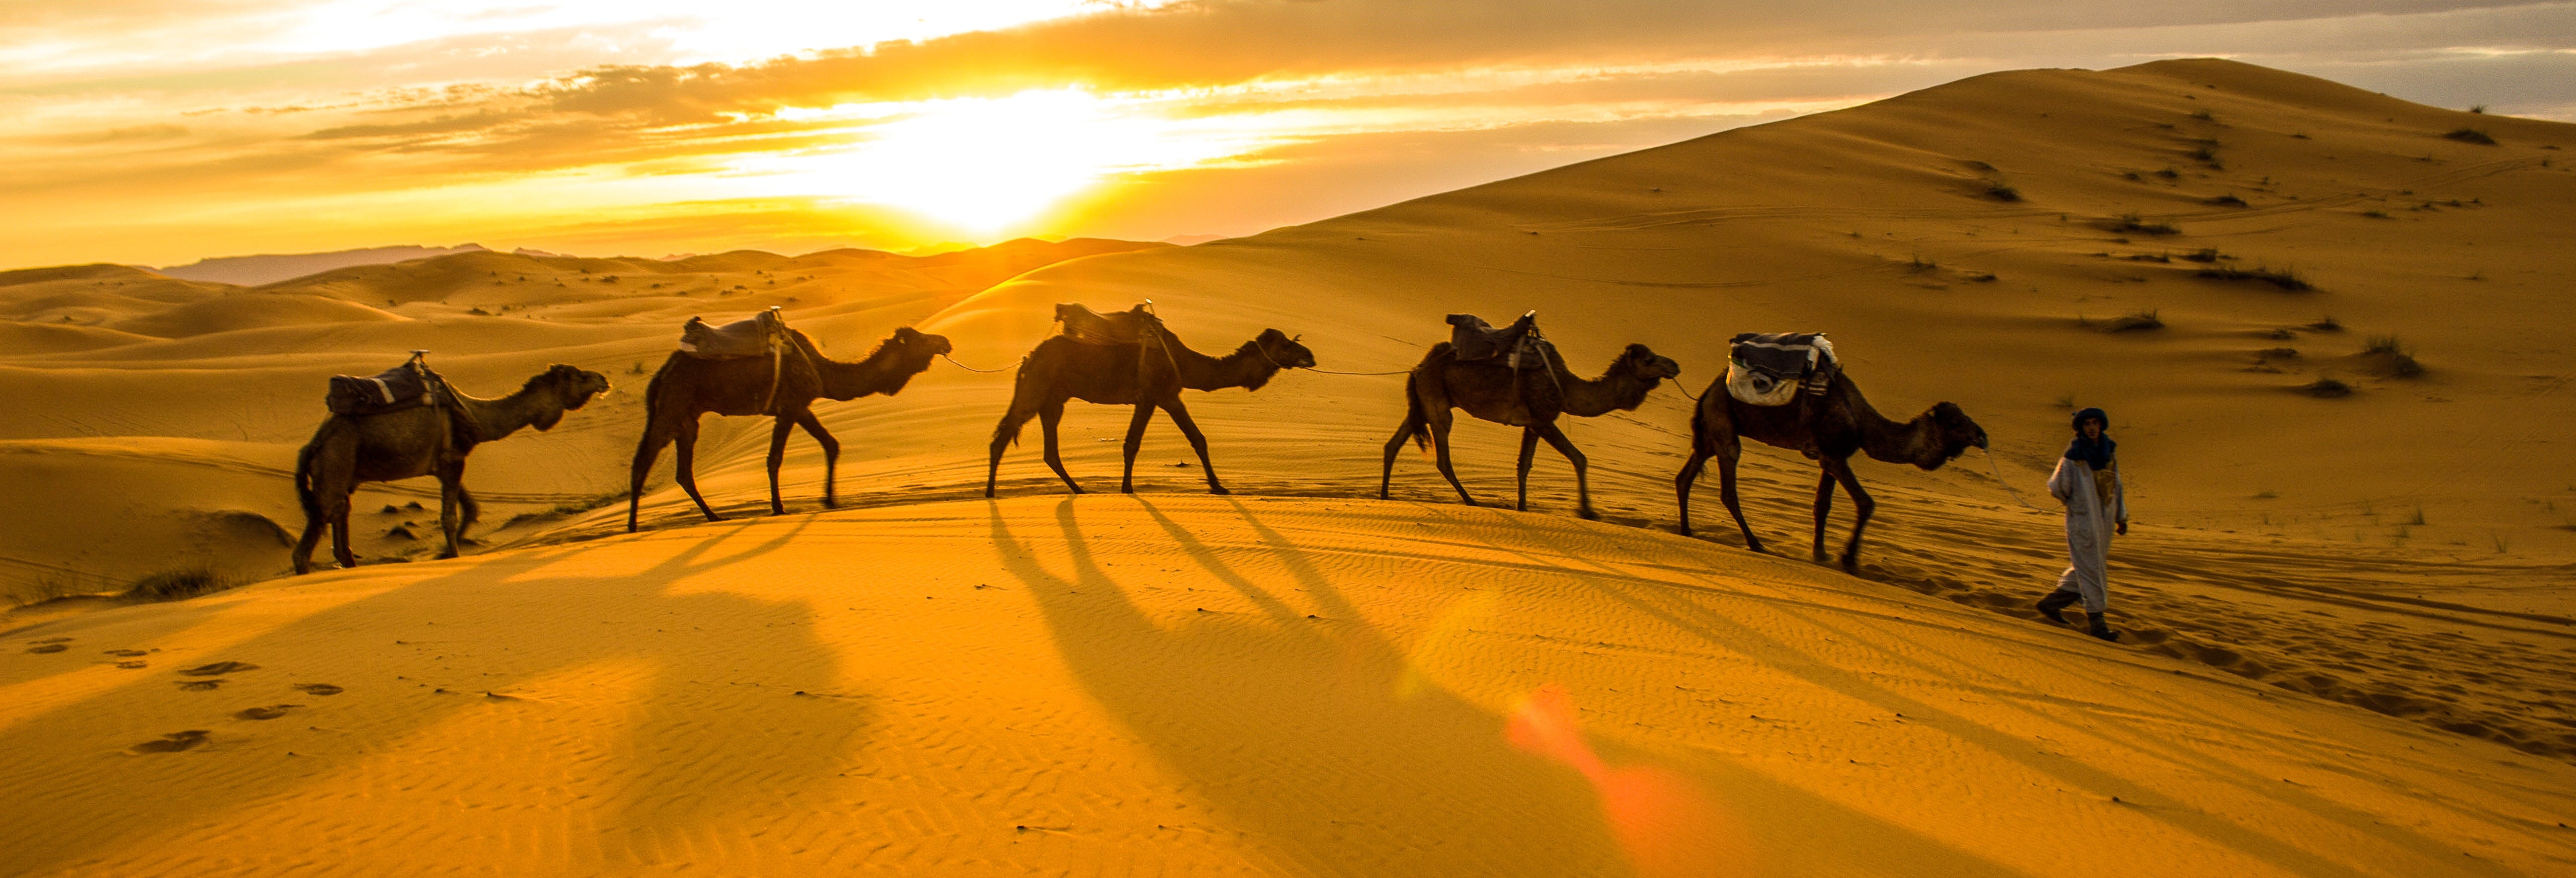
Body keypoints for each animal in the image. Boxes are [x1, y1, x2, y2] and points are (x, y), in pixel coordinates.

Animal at [295, 360, 610, 571]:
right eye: (580, 376)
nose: (604, 379)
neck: (474, 416)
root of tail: (314, 444)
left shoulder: (449, 463)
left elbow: (471, 508)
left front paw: (444, 553)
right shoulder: (452, 462)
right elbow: (449, 517)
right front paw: (452, 555)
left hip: (345, 474)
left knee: (340, 517)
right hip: (335, 463)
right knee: (314, 533)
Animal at [628, 321, 953, 528]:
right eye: (921, 339)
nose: (946, 342)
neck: (823, 370)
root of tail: (661, 375)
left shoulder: (801, 406)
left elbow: (831, 444)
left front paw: (830, 499)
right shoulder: (789, 407)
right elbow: (775, 459)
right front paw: (779, 507)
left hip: (687, 420)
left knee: (683, 472)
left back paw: (714, 517)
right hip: (672, 407)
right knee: (643, 462)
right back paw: (633, 525)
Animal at [984, 324, 1308, 497]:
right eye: (1286, 345)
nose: (1310, 356)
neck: (1185, 363)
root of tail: (1028, 357)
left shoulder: (1170, 396)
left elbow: (1198, 439)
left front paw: (1219, 487)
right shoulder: (1152, 395)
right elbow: (1132, 444)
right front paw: (1127, 488)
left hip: (1054, 400)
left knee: (1049, 451)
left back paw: (1080, 490)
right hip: (1036, 391)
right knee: (1002, 437)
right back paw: (990, 493)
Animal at [1380, 340, 1679, 520]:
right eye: (1649, 360)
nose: (1675, 365)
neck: (1567, 388)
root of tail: (1418, 368)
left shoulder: (1533, 424)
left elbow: (1524, 465)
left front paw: (1522, 507)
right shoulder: (1543, 419)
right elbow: (1579, 458)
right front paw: (1587, 511)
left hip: (1423, 404)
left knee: (1393, 445)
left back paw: (1384, 495)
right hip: (1438, 404)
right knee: (1443, 458)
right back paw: (1472, 501)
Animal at [1679, 368, 1978, 566]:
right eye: (1956, 423)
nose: (1981, 436)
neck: (1862, 423)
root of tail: (1709, 390)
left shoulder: (1830, 456)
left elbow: (1822, 504)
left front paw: (1821, 554)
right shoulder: (1834, 456)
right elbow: (1866, 503)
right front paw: (1847, 559)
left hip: (1711, 432)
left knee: (1685, 477)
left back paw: (1686, 530)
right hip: (1723, 420)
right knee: (1729, 487)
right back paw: (1756, 544)